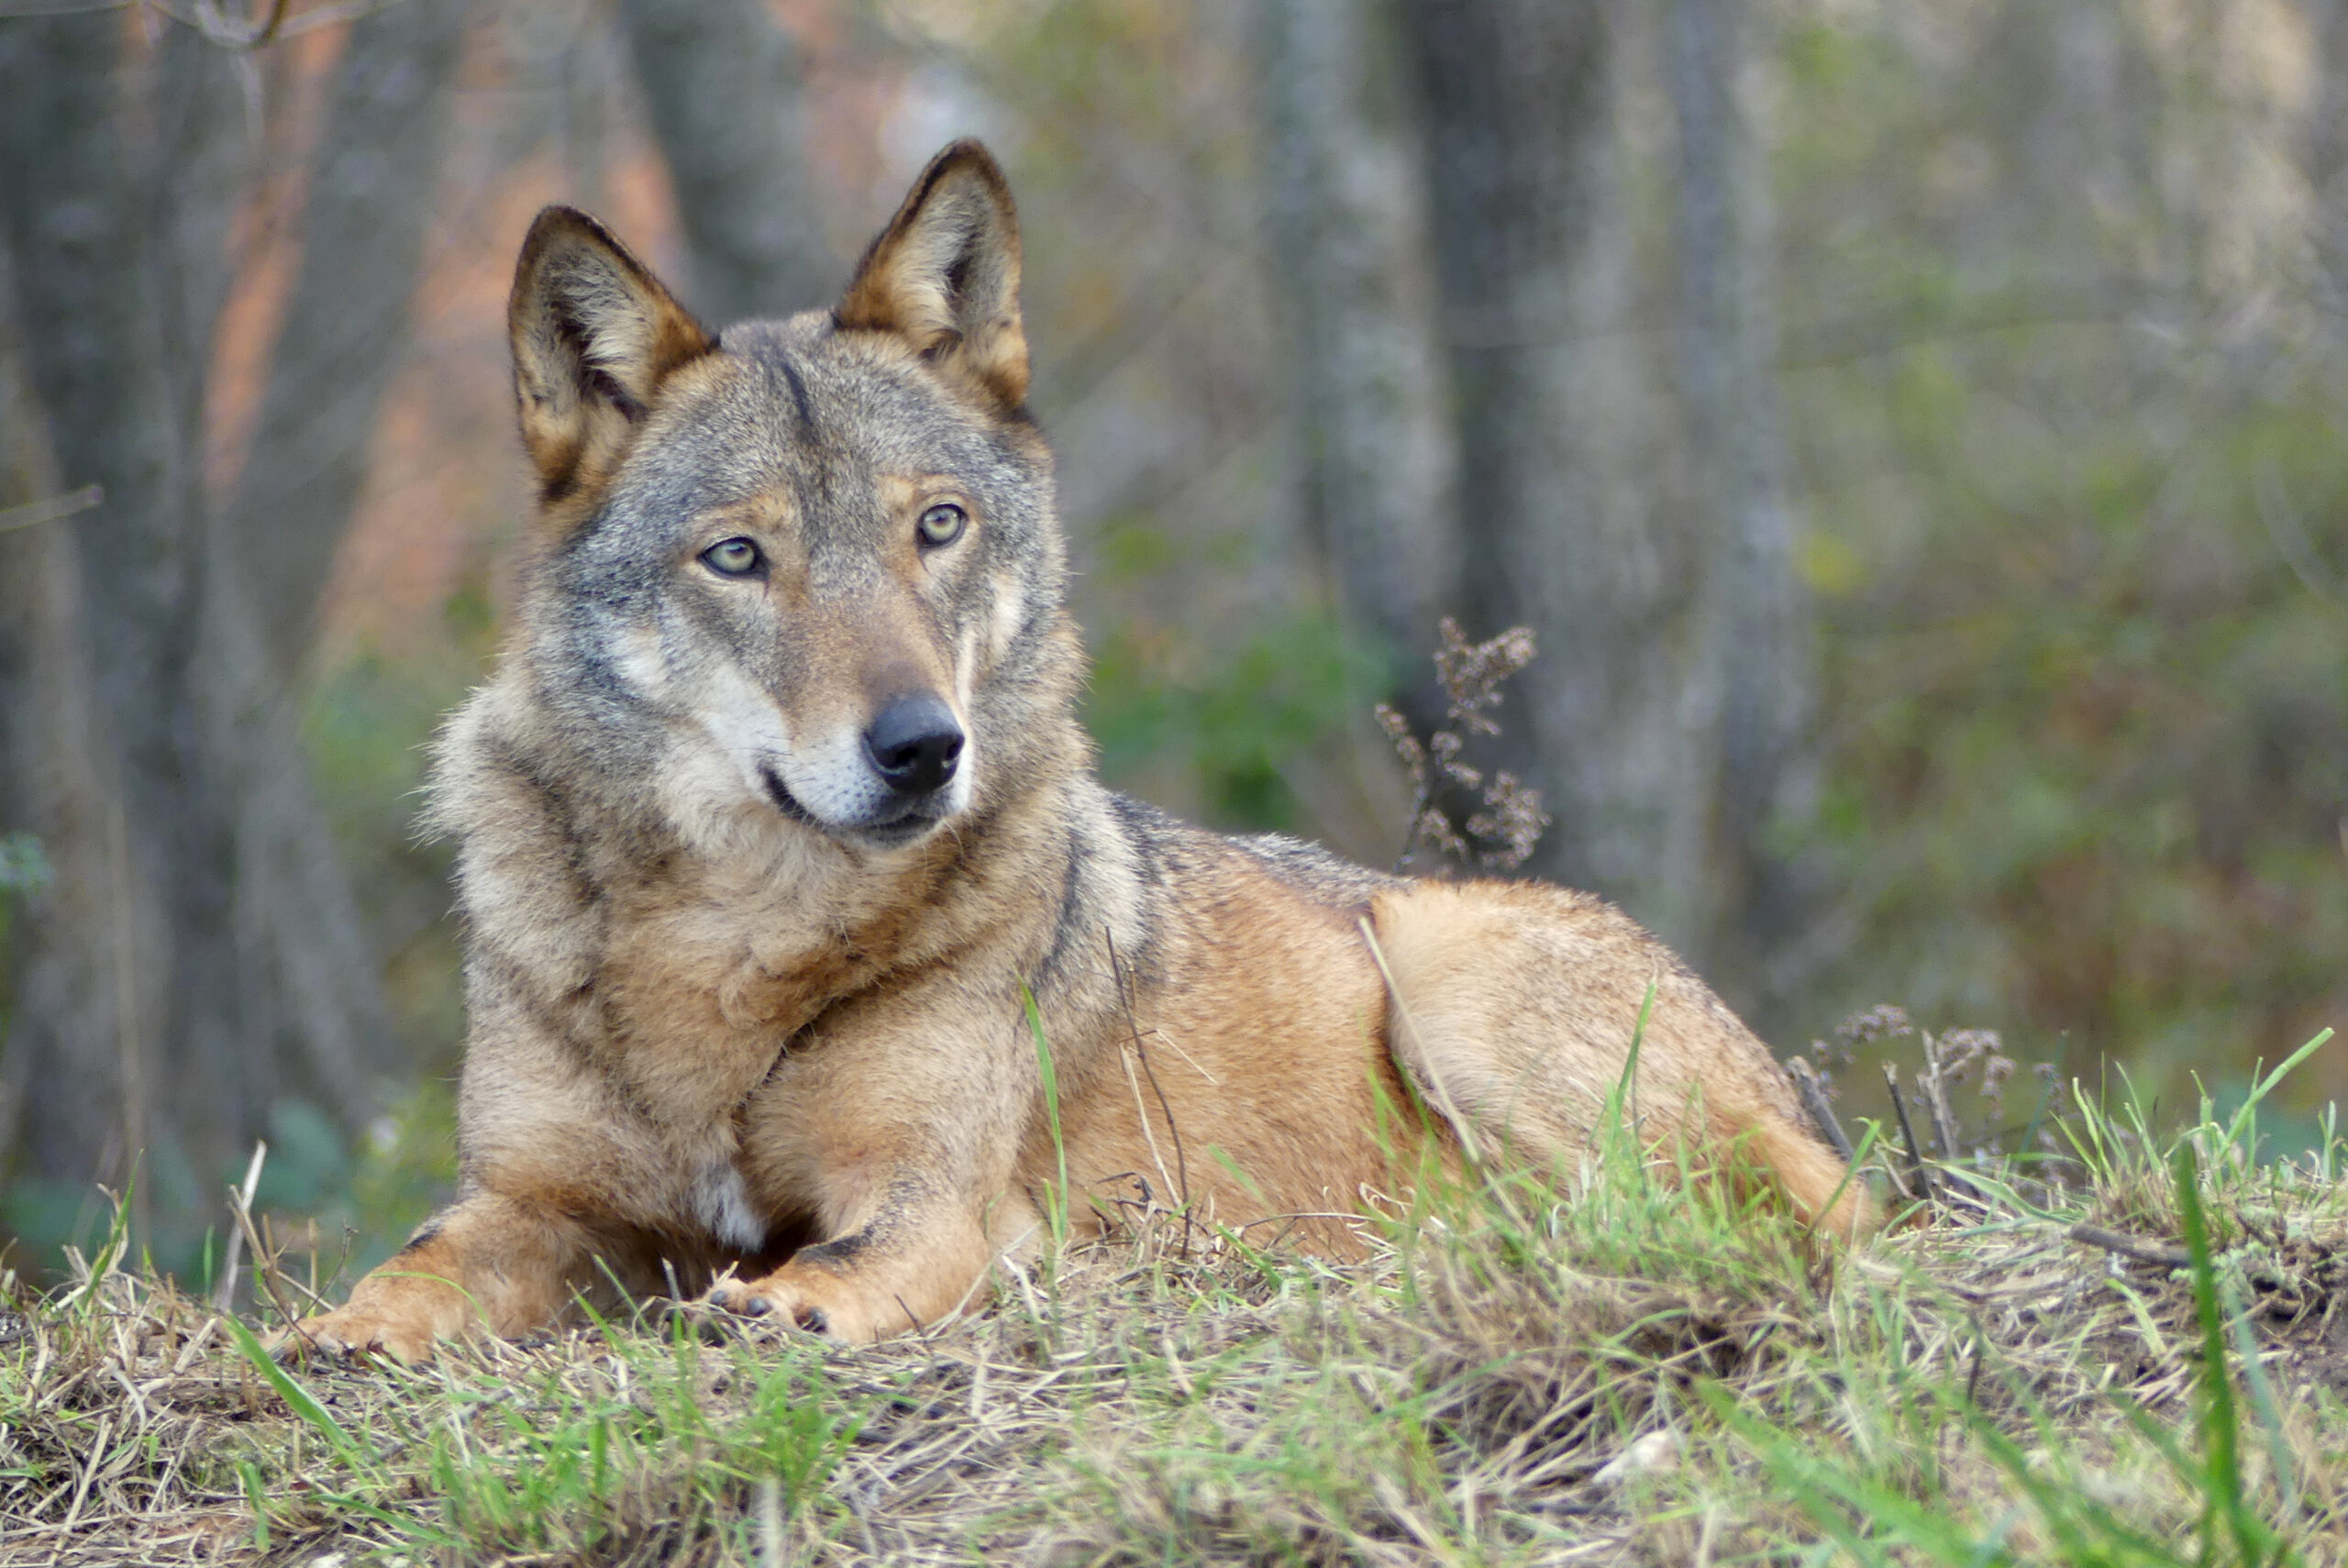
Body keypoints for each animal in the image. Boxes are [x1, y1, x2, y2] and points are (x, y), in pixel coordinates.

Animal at [294, 138, 1859, 1361]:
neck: (734, 944)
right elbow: (419, 1256)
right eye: (738, 556)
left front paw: (785, 1303)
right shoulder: (538, 1198)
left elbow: (839, 1261)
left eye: (936, 526)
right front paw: (334, 1332)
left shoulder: (929, 1196)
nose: (925, 747)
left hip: (1446, 963)